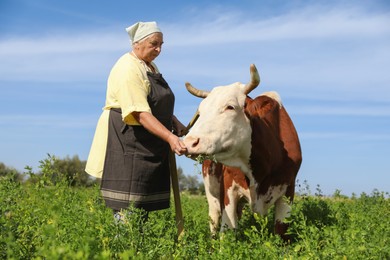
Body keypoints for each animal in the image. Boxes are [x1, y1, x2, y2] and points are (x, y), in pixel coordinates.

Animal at [183, 64, 302, 240]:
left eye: (230, 107)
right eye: (201, 111)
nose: (189, 142)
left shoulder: (288, 190)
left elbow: (281, 232)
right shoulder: (228, 192)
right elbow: (227, 231)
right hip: (211, 192)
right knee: (214, 219)